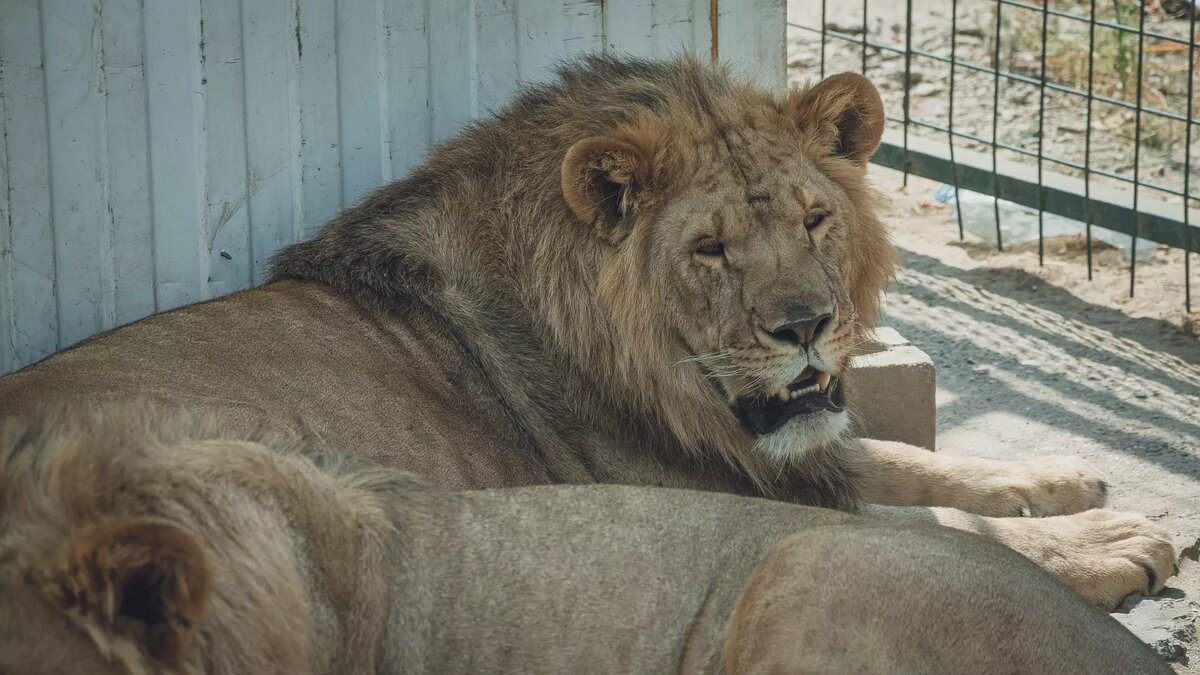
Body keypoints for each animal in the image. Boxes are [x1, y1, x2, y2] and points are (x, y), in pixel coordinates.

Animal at [0, 55, 1180, 607]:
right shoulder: (705, 498)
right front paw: (1107, 543)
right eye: (710, 250)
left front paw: (1055, 476)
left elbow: (912, 464)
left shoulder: (772, 454)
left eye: (814, 219)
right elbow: (933, 528)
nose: (808, 327)